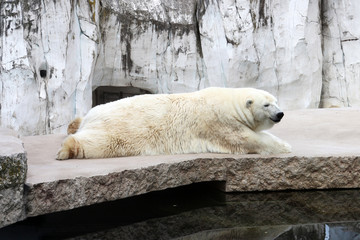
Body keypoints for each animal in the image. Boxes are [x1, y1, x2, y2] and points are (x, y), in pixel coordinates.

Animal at [57, 87, 292, 160]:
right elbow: (248, 139)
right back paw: (65, 150)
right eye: (267, 104)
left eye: (276, 101)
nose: (280, 114)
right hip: (119, 129)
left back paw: (73, 125)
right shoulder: (219, 123)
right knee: (99, 143)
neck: (229, 104)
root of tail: (92, 116)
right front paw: (285, 146)